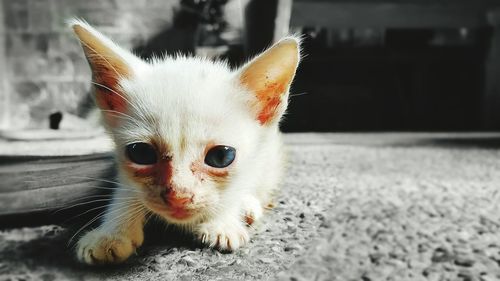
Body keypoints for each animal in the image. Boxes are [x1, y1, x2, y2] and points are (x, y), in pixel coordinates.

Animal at [70, 19, 300, 262]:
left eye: (221, 156)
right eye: (141, 153)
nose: (178, 196)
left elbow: (238, 186)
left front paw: (223, 222)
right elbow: (126, 188)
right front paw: (112, 232)